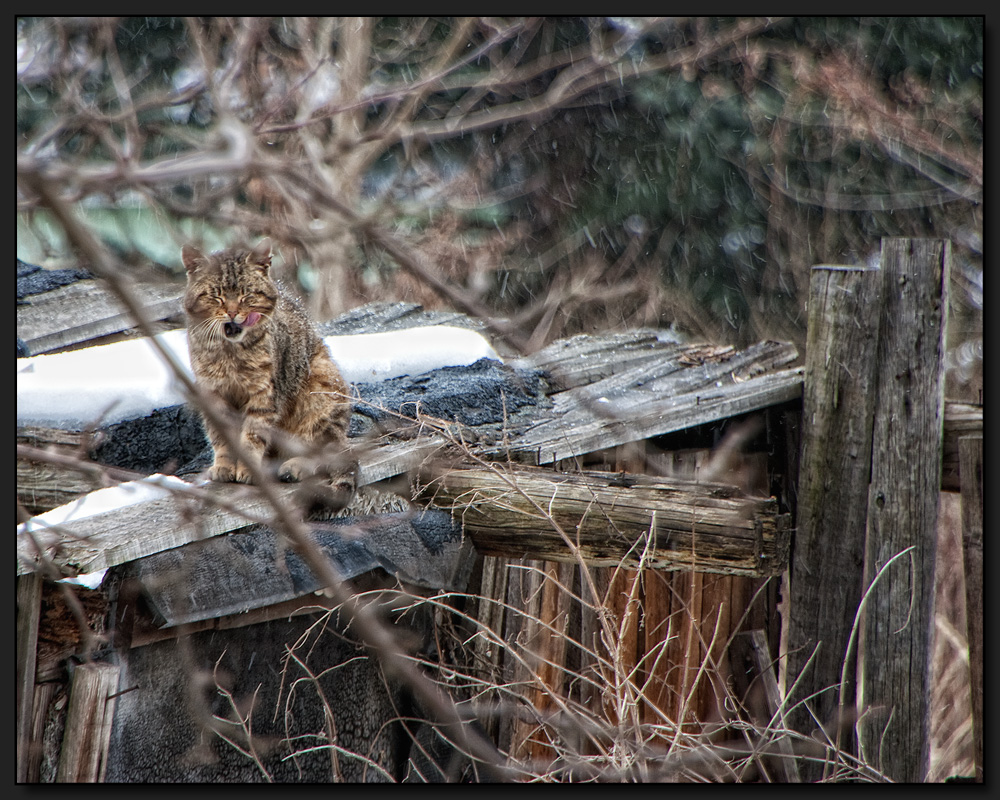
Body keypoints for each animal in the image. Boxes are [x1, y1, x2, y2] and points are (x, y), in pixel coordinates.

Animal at [184, 236, 356, 500]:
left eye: (246, 295)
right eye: (217, 296)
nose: (232, 312)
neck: (229, 355)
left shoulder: (264, 395)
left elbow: (251, 438)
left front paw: (247, 470)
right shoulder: (212, 395)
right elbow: (222, 438)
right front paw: (224, 466)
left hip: (322, 388)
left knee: (324, 453)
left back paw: (295, 466)